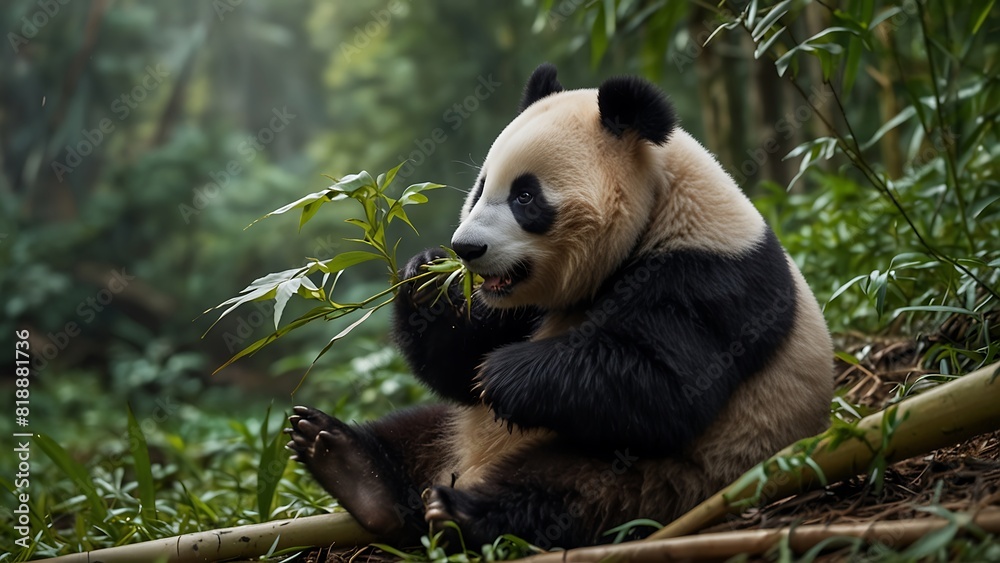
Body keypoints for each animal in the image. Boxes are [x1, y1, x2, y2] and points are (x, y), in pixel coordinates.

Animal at [287, 63, 833, 549]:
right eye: (481, 187)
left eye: (525, 197)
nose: (466, 248)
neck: (657, 206)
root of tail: (457, 468)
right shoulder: (522, 306)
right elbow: (457, 367)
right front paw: (427, 278)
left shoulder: (708, 278)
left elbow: (667, 385)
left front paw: (505, 375)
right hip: (451, 429)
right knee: (415, 429)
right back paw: (347, 462)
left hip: (681, 471)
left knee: (575, 488)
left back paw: (460, 514)